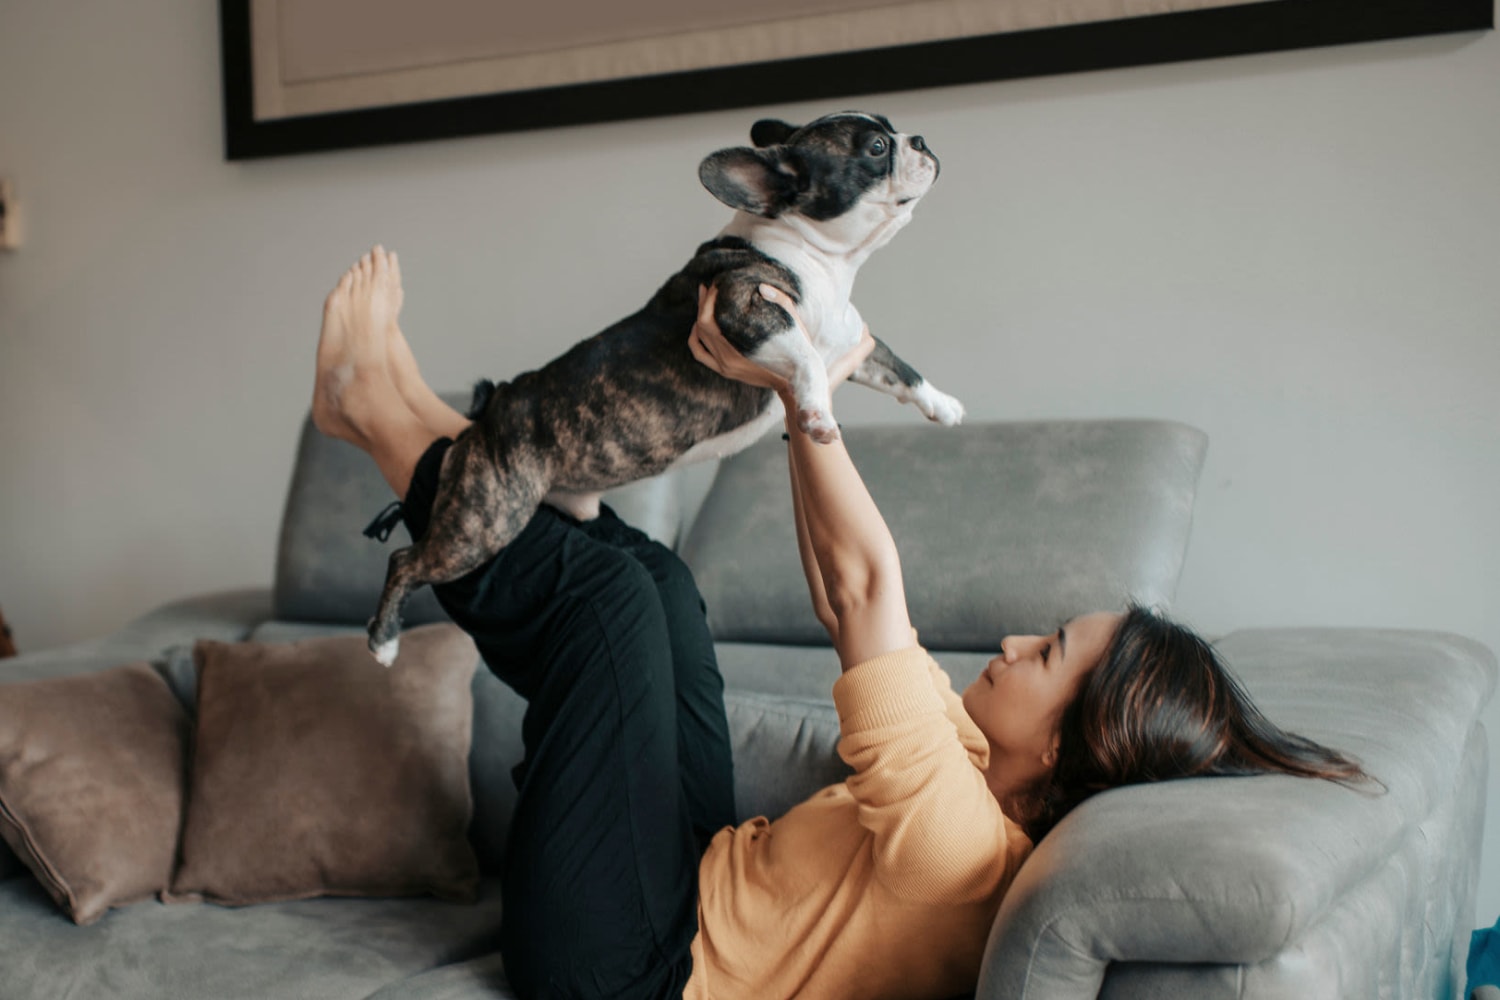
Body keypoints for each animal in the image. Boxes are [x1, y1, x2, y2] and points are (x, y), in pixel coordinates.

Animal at [369, 109, 966, 665]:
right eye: (876, 147)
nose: (920, 139)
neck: (821, 260)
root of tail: (488, 411)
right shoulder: (745, 308)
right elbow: (807, 361)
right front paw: (817, 414)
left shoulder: (850, 343)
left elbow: (898, 367)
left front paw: (944, 405)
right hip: (484, 522)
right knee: (407, 560)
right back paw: (384, 642)